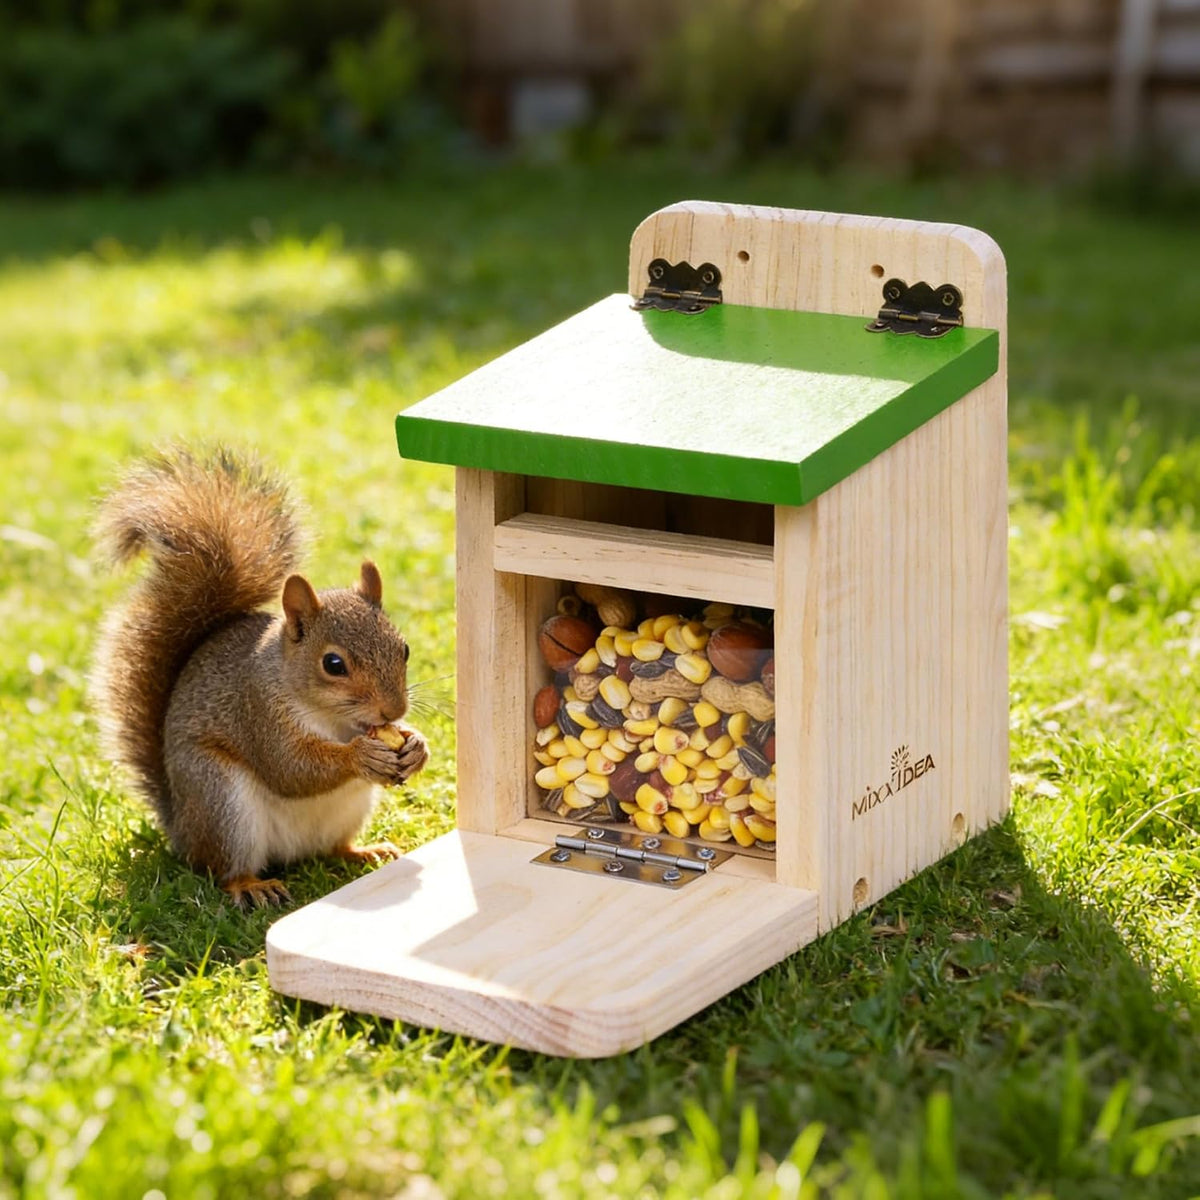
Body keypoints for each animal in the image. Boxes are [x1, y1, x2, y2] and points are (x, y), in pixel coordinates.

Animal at [90, 447, 429, 908]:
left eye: (405, 649)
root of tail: (180, 828)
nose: (394, 709)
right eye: (333, 664)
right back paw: (251, 886)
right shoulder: (258, 712)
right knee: (221, 870)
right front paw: (359, 756)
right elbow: (290, 767)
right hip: (220, 800)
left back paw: (365, 851)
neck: (330, 717)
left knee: (332, 848)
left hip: (349, 810)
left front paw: (416, 745)